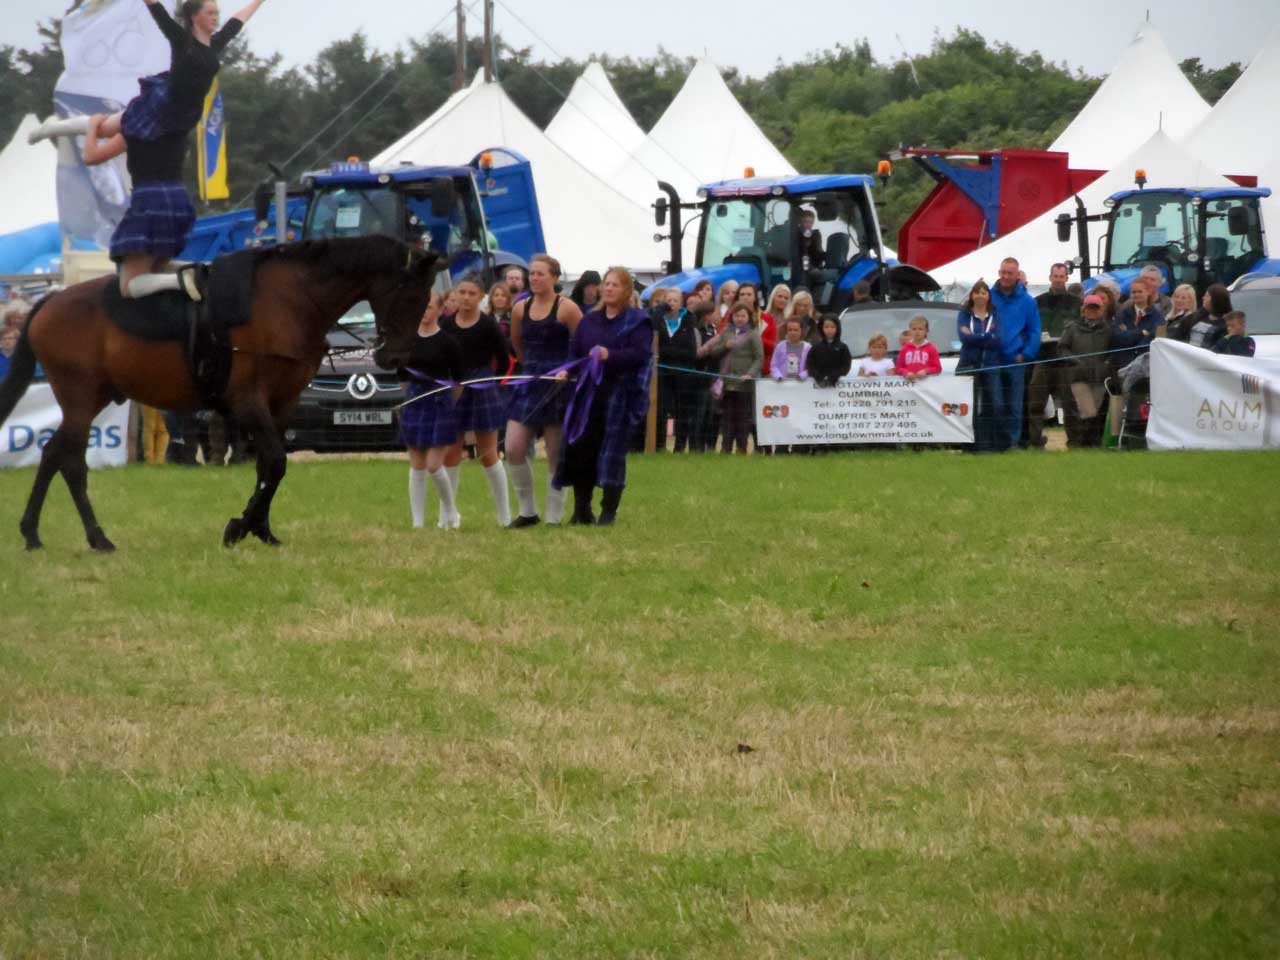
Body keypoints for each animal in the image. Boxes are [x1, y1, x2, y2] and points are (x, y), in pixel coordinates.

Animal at [0, 235, 437, 555]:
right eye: (409, 293)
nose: (395, 357)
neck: (287, 299)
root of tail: (49, 302)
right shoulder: (248, 400)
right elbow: (276, 462)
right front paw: (239, 527)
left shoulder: (282, 403)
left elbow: (267, 465)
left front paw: (261, 529)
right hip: (80, 397)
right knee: (71, 462)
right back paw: (97, 537)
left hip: (92, 398)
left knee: (53, 454)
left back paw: (31, 533)